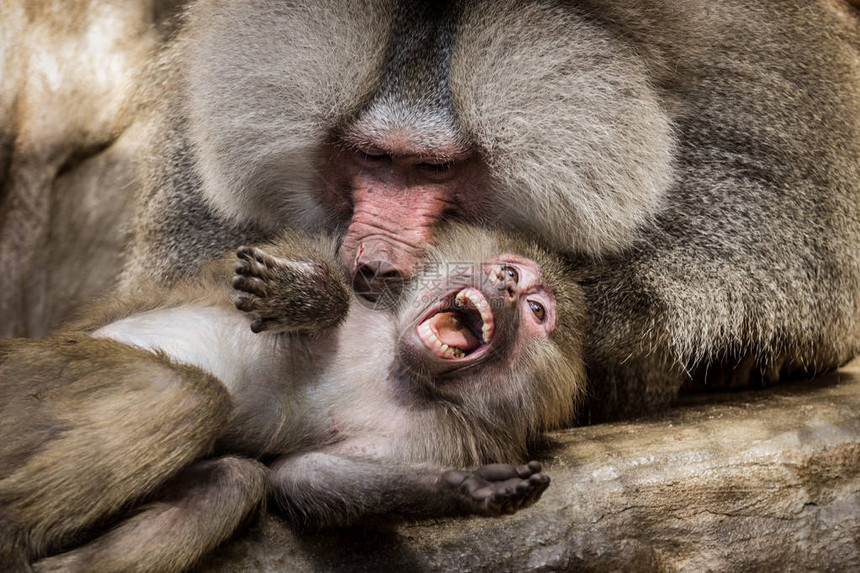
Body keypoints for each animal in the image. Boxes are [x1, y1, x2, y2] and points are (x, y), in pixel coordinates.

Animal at [0, 225, 584, 572]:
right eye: (509, 271)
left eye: (536, 311)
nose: (508, 287)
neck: (395, 364)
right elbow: (239, 273)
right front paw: (309, 298)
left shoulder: (443, 432)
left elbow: (304, 476)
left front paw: (468, 488)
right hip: (32, 372)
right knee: (192, 397)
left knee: (230, 477)